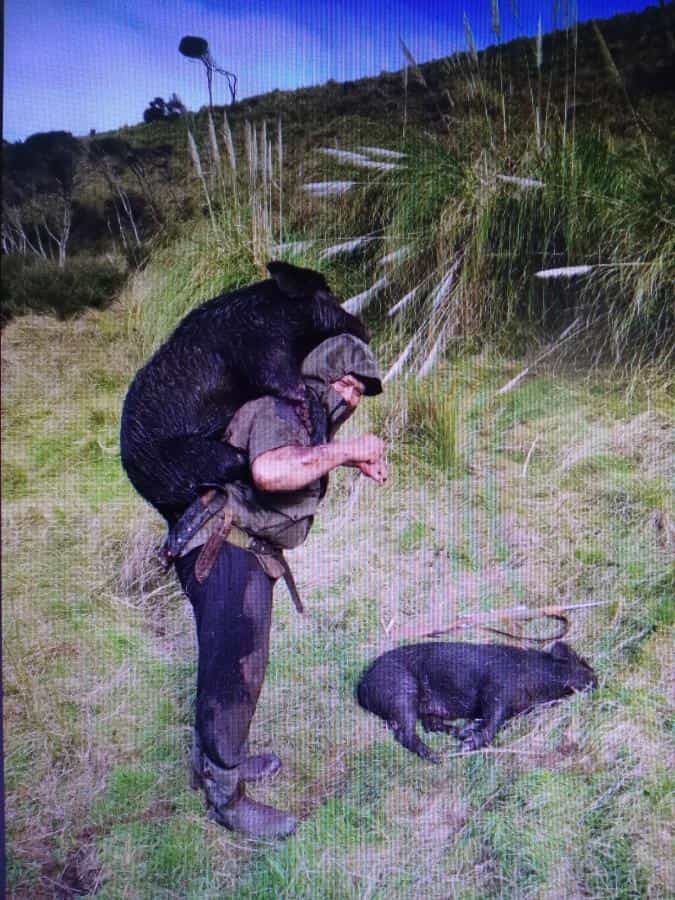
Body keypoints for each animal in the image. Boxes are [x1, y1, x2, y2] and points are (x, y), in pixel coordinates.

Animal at [356, 641, 597, 762]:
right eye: (583, 664)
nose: (596, 679)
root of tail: (361, 688)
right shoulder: (497, 688)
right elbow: (495, 720)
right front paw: (467, 747)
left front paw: (469, 732)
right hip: (400, 689)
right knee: (404, 733)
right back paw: (438, 757)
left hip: (423, 705)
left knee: (429, 725)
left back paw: (458, 734)